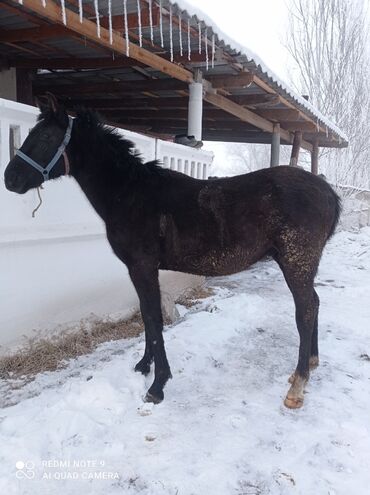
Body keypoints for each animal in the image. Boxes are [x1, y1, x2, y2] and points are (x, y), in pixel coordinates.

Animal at [4, 99, 340, 408]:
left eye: (46, 137)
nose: (10, 178)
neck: (132, 195)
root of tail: (327, 192)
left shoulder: (142, 266)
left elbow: (153, 318)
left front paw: (158, 385)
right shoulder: (140, 269)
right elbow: (146, 316)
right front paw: (144, 366)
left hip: (296, 262)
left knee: (305, 310)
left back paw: (297, 385)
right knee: (315, 303)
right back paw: (309, 365)